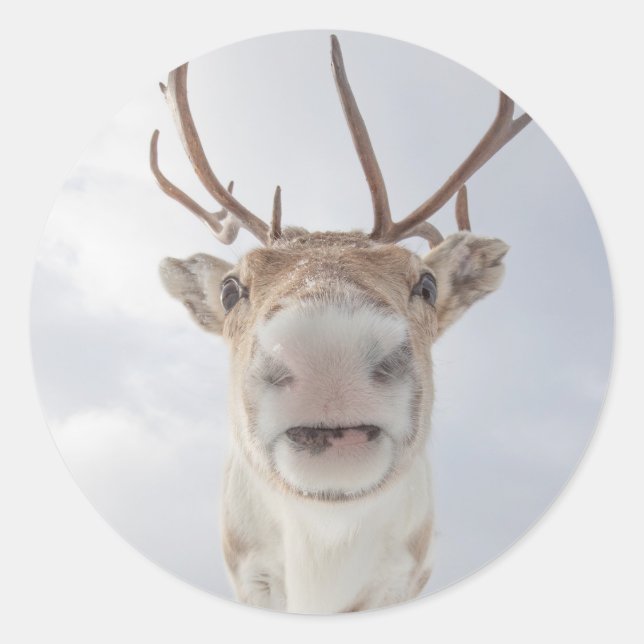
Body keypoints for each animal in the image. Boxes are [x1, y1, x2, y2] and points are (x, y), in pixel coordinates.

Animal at [149, 35, 532, 614]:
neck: (323, 557)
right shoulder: (250, 574)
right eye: (231, 289)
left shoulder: (403, 579)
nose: (328, 351)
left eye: (426, 284)